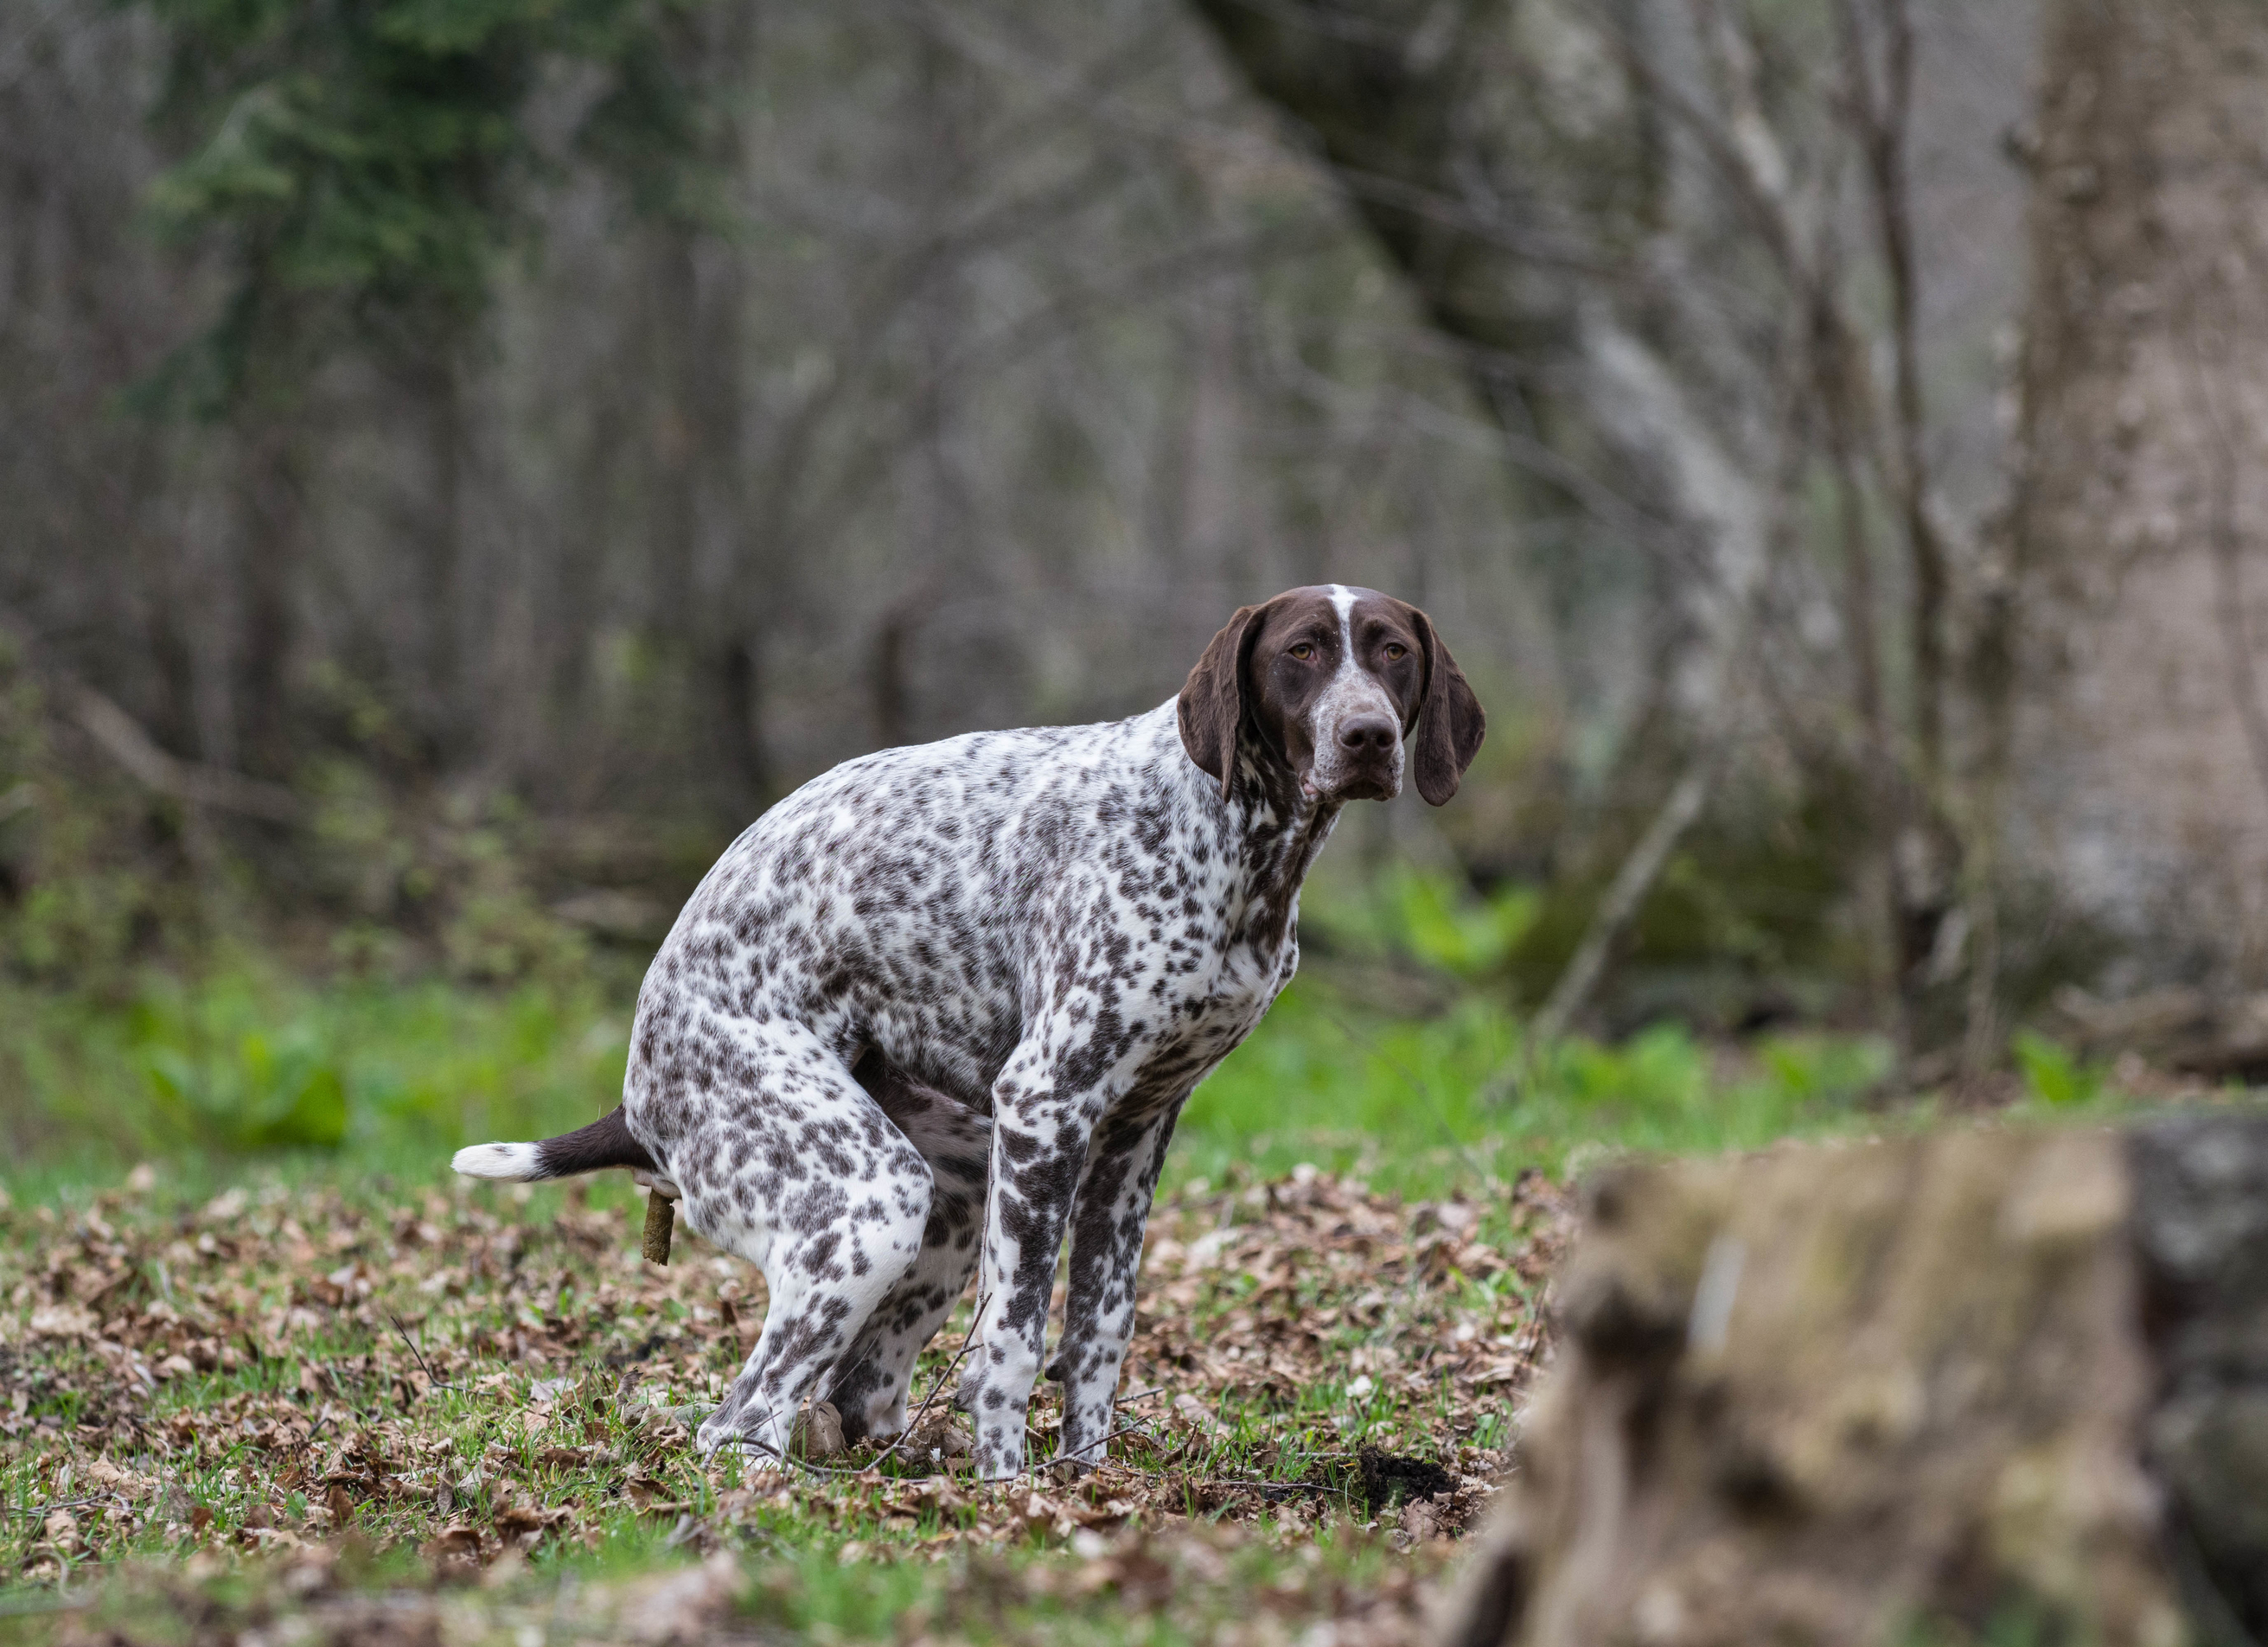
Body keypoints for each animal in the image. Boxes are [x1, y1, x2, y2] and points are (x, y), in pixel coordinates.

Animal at [460, 590, 1487, 1488]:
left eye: (1393, 652)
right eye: (1301, 651)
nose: (1368, 736)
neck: (1231, 839)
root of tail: (637, 1093)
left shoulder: (1132, 1136)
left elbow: (1096, 1338)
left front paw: (1085, 1484)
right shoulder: (1046, 1105)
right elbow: (1013, 1343)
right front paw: (1009, 1496)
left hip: (950, 1203)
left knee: (855, 1397)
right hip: (869, 1203)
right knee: (738, 1422)